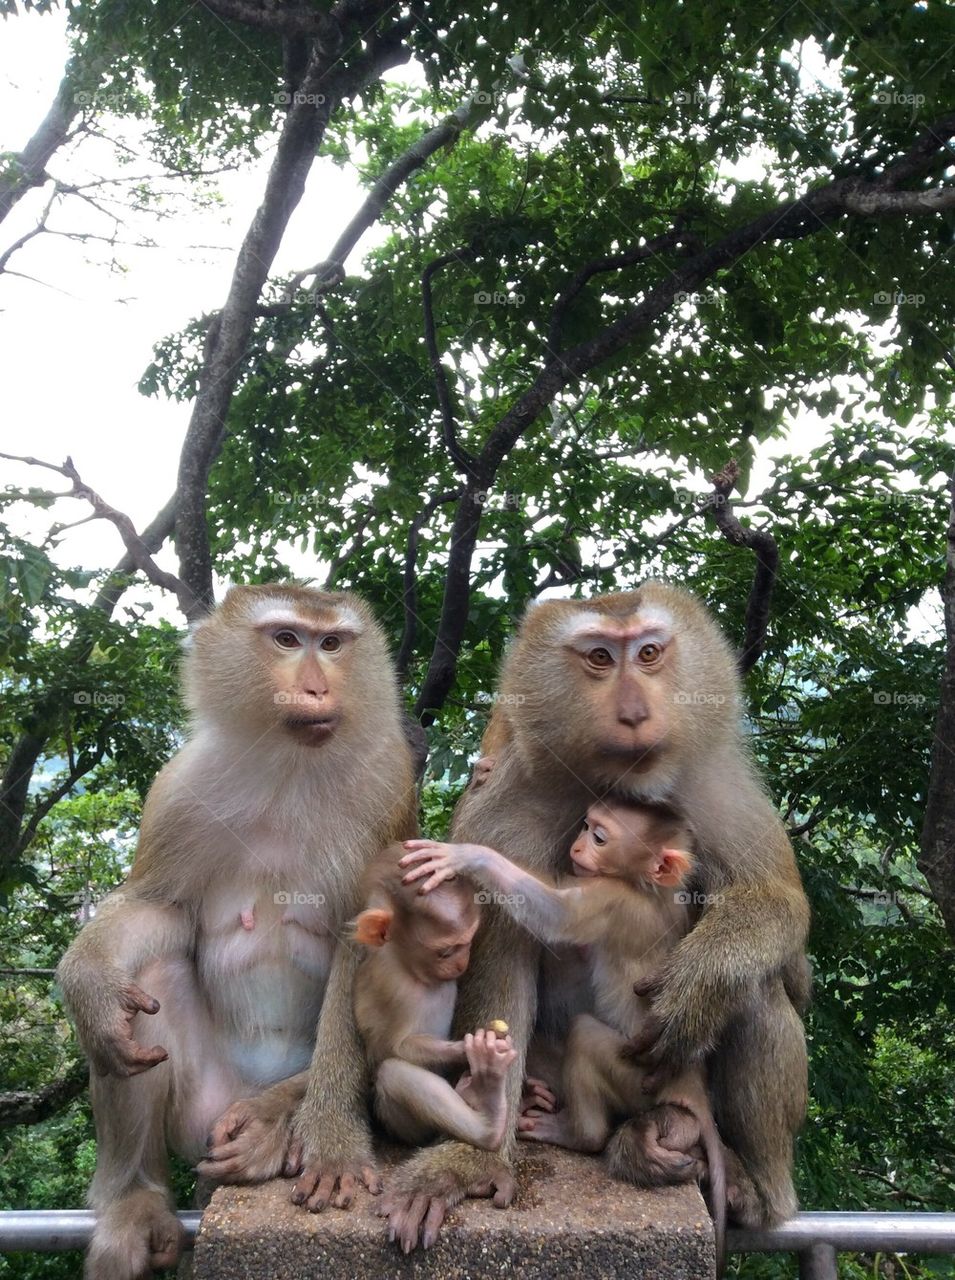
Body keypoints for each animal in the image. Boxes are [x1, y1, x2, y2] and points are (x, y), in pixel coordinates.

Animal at [55, 585, 418, 1279]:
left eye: (332, 643)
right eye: (287, 639)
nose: (315, 688)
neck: (289, 766)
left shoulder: (386, 789)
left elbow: (368, 940)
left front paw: (332, 1144)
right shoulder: (179, 789)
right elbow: (158, 908)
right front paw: (88, 985)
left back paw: (272, 1123)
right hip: (200, 1110)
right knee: (147, 985)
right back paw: (134, 1199)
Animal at [350, 847, 518, 1163]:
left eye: (469, 941)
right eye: (446, 951)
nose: (462, 963)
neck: (410, 969)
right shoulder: (394, 988)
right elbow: (393, 1047)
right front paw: (468, 1048)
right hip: (401, 1124)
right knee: (394, 1074)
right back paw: (489, 1117)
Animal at [400, 799, 729, 1272]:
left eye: (600, 837)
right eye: (587, 825)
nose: (576, 844)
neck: (648, 887)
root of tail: (692, 1084)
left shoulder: (612, 899)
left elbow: (559, 916)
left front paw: (468, 856)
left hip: (639, 1080)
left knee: (586, 1035)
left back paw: (578, 1134)